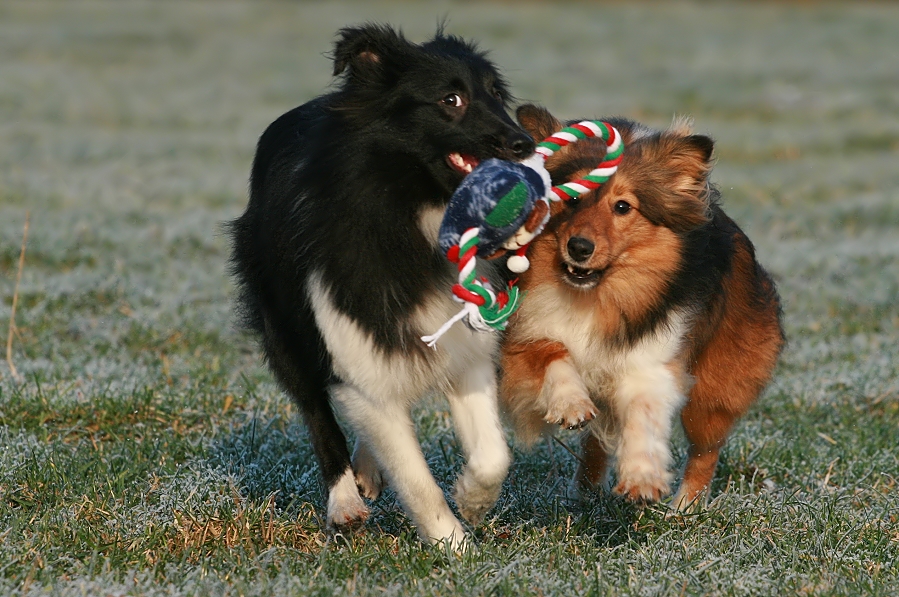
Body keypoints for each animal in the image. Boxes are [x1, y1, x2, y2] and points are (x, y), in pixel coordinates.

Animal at [229, 23, 536, 544]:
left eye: (496, 94)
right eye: (451, 99)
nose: (524, 143)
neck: (414, 210)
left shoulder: (466, 342)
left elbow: (494, 453)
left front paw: (472, 503)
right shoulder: (346, 328)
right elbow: (416, 480)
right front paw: (455, 548)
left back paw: (368, 472)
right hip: (285, 323)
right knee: (318, 412)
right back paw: (346, 502)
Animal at [502, 105, 784, 506]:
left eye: (623, 207)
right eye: (571, 199)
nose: (579, 248)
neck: (595, 296)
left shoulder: (651, 358)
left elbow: (643, 412)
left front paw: (642, 478)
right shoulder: (523, 332)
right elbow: (551, 350)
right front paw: (571, 403)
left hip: (714, 389)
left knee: (705, 450)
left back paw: (685, 508)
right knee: (597, 441)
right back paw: (584, 493)